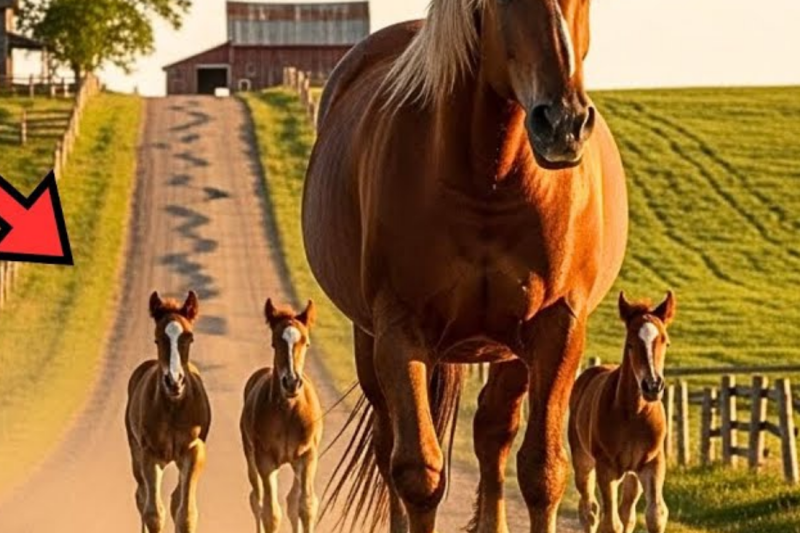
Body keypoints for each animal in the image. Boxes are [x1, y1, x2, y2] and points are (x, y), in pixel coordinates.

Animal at [125, 291, 212, 533]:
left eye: (189, 338)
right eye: (157, 339)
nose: (174, 382)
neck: (173, 408)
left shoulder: (193, 451)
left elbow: (185, 513)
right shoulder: (149, 454)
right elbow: (154, 513)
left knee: (174, 499)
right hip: (136, 452)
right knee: (142, 496)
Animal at [240, 299, 322, 533]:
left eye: (306, 343)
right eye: (275, 343)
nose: (292, 382)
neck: (288, 412)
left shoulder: (308, 456)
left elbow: (306, 506)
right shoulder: (265, 459)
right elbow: (270, 514)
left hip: (295, 463)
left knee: (292, 501)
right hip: (251, 455)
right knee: (257, 499)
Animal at [302, 0, 628, 531]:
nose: (563, 125)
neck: (489, 178)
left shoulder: (556, 327)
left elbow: (542, 471)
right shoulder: (401, 332)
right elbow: (419, 473)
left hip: (508, 351)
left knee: (493, 436)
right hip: (369, 340)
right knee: (388, 446)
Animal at [568, 291, 676, 533]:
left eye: (665, 342)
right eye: (630, 344)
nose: (652, 386)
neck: (635, 414)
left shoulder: (653, 463)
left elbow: (656, 514)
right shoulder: (606, 467)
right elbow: (611, 523)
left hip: (631, 473)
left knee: (627, 513)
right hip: (583, 460)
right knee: (589, 510)